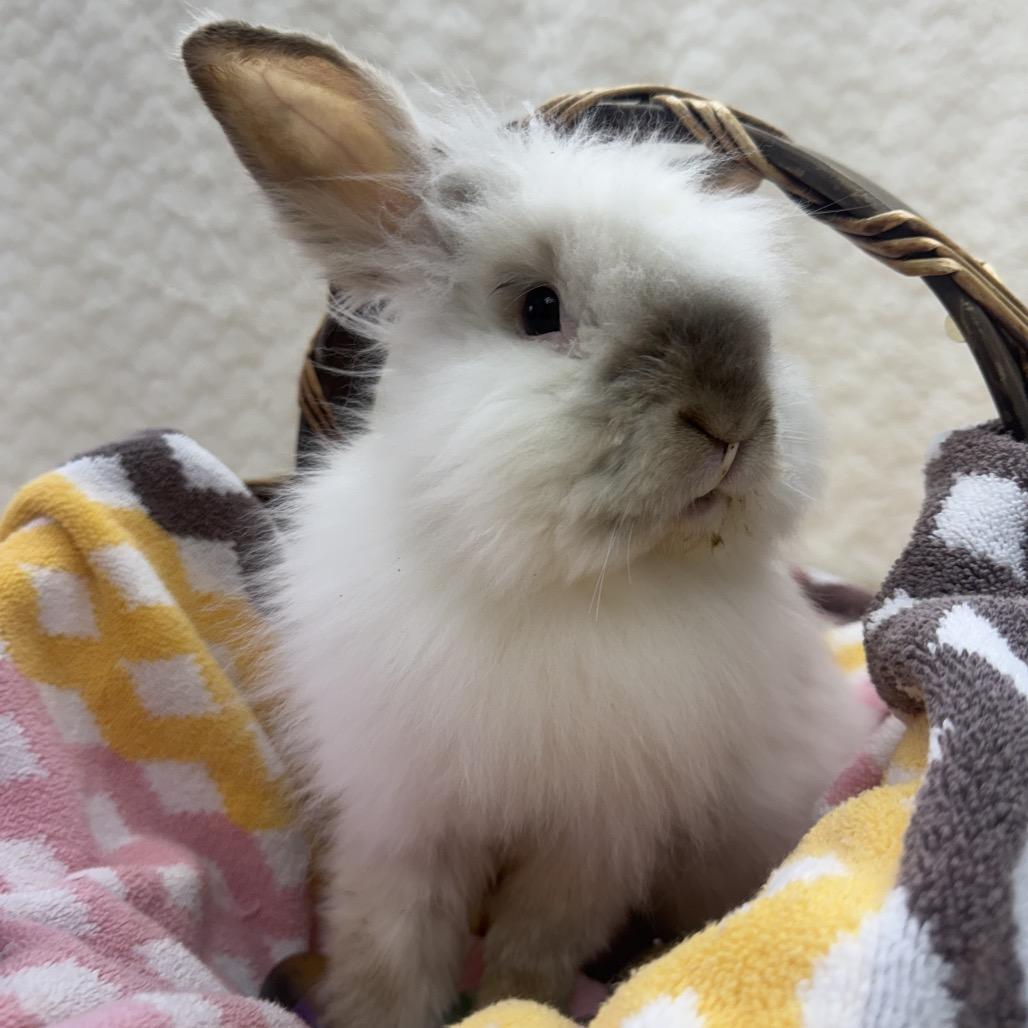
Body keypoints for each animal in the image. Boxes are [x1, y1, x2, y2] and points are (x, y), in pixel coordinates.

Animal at [183, 21, 869, 1028]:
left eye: (762, 328)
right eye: (537, 309)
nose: (732, 418)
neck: (563, 583)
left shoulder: (599, 832)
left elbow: (537, 945)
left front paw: (515, 1004)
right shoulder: (404, 815)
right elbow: (390, 938)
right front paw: (378, 1011)